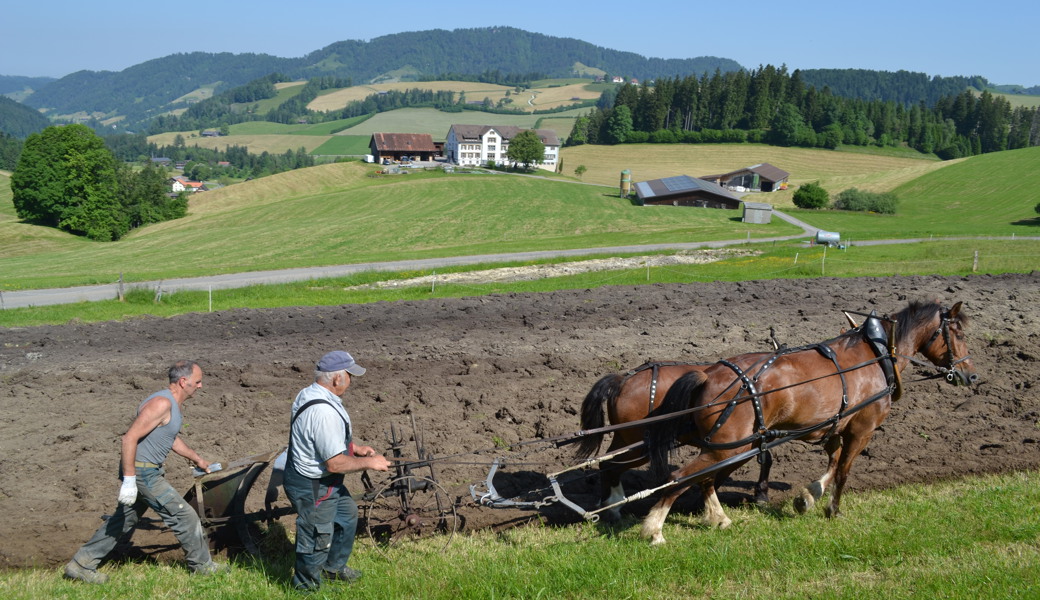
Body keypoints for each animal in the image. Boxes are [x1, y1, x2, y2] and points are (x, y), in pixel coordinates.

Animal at [640, 300, 977, 545]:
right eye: (959, 334)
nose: (972, 375)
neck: (878, 354)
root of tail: (708, 374)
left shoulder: (835, 426)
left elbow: (833, 463)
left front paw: (807, 498)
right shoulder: (862, 429)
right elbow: (843, 471)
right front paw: (833, 510)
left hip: (730, 445)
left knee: (705, 479)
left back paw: (717, 518)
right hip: (728, 446)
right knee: (681, 477)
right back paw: (654, 530)